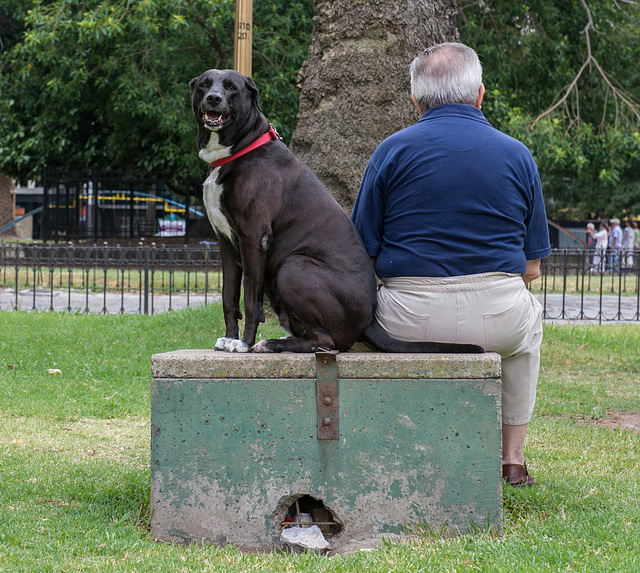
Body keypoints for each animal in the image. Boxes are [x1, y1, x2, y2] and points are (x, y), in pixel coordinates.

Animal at [192, 67, 482, 354]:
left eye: (231, 87)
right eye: (205, 84)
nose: (213, 98)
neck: (237, 152)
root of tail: (368, 321)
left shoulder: (253, 238)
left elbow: (251, 299)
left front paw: (244, 343)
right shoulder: (227, 244)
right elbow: (229, 298)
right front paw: (229, 338)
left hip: (294, 266)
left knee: (326, 342)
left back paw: (271, 343)